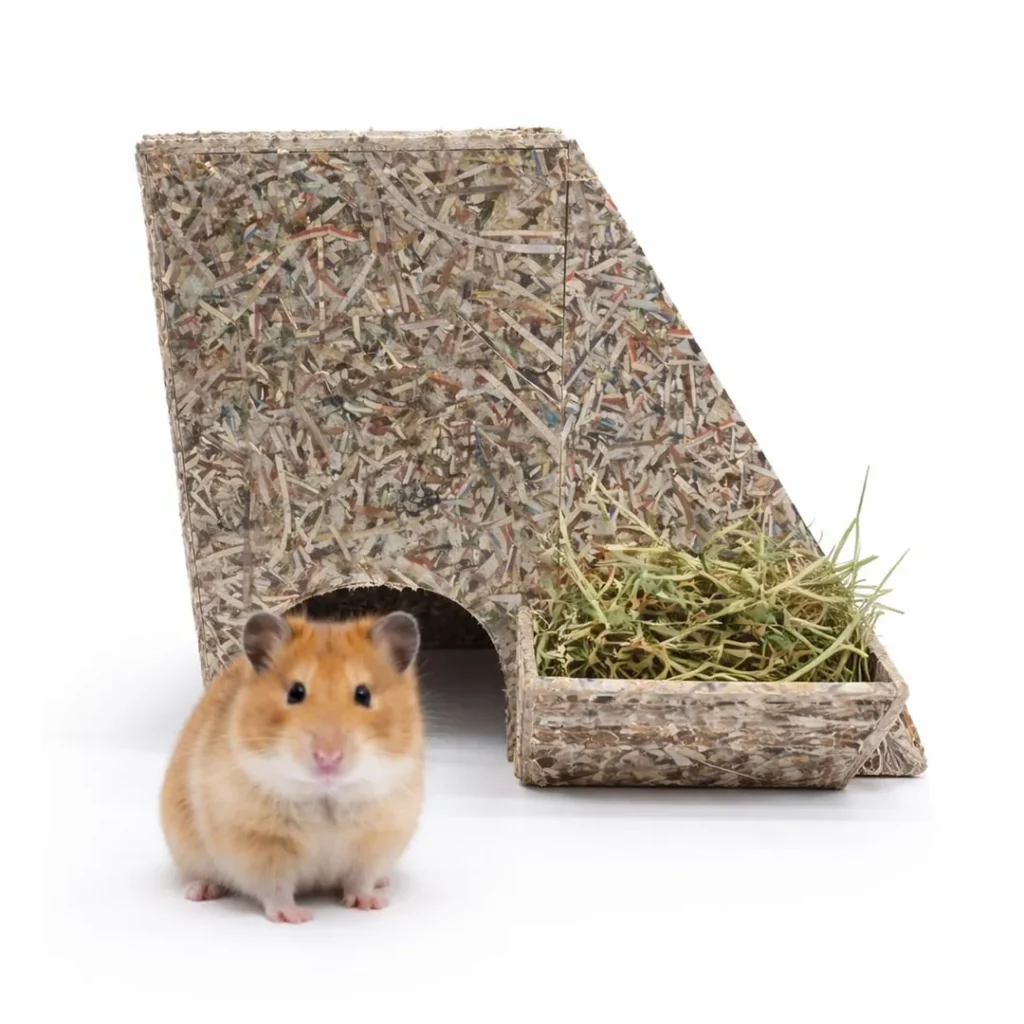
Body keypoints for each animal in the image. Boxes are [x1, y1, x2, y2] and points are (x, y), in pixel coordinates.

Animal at [160, 610, 424, 923]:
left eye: (364, 694)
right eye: (295, 692)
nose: (328, 757)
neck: (326, 795)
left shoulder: (375, 839)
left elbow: (360, 879)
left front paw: (370, 903)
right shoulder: (259, 844)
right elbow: (275, 888)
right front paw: (296, 917)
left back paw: (383, 883)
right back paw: (201, 891)